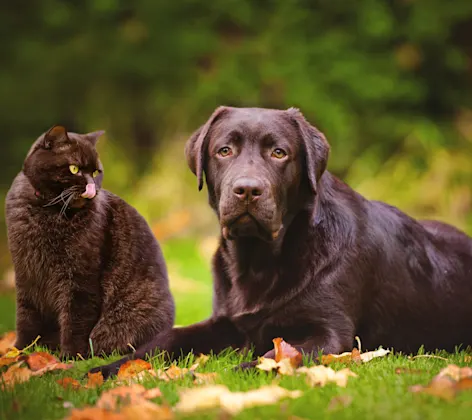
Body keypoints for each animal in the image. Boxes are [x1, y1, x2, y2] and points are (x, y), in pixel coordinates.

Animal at [5, 125, 175, 358]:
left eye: (96, 172)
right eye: (74, 169)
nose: (91, 186)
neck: (46, 211)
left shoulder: (80, 280)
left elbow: (76, 322)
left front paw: (70, 358)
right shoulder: (26, 275)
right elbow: (26, 318)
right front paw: (20, 352)